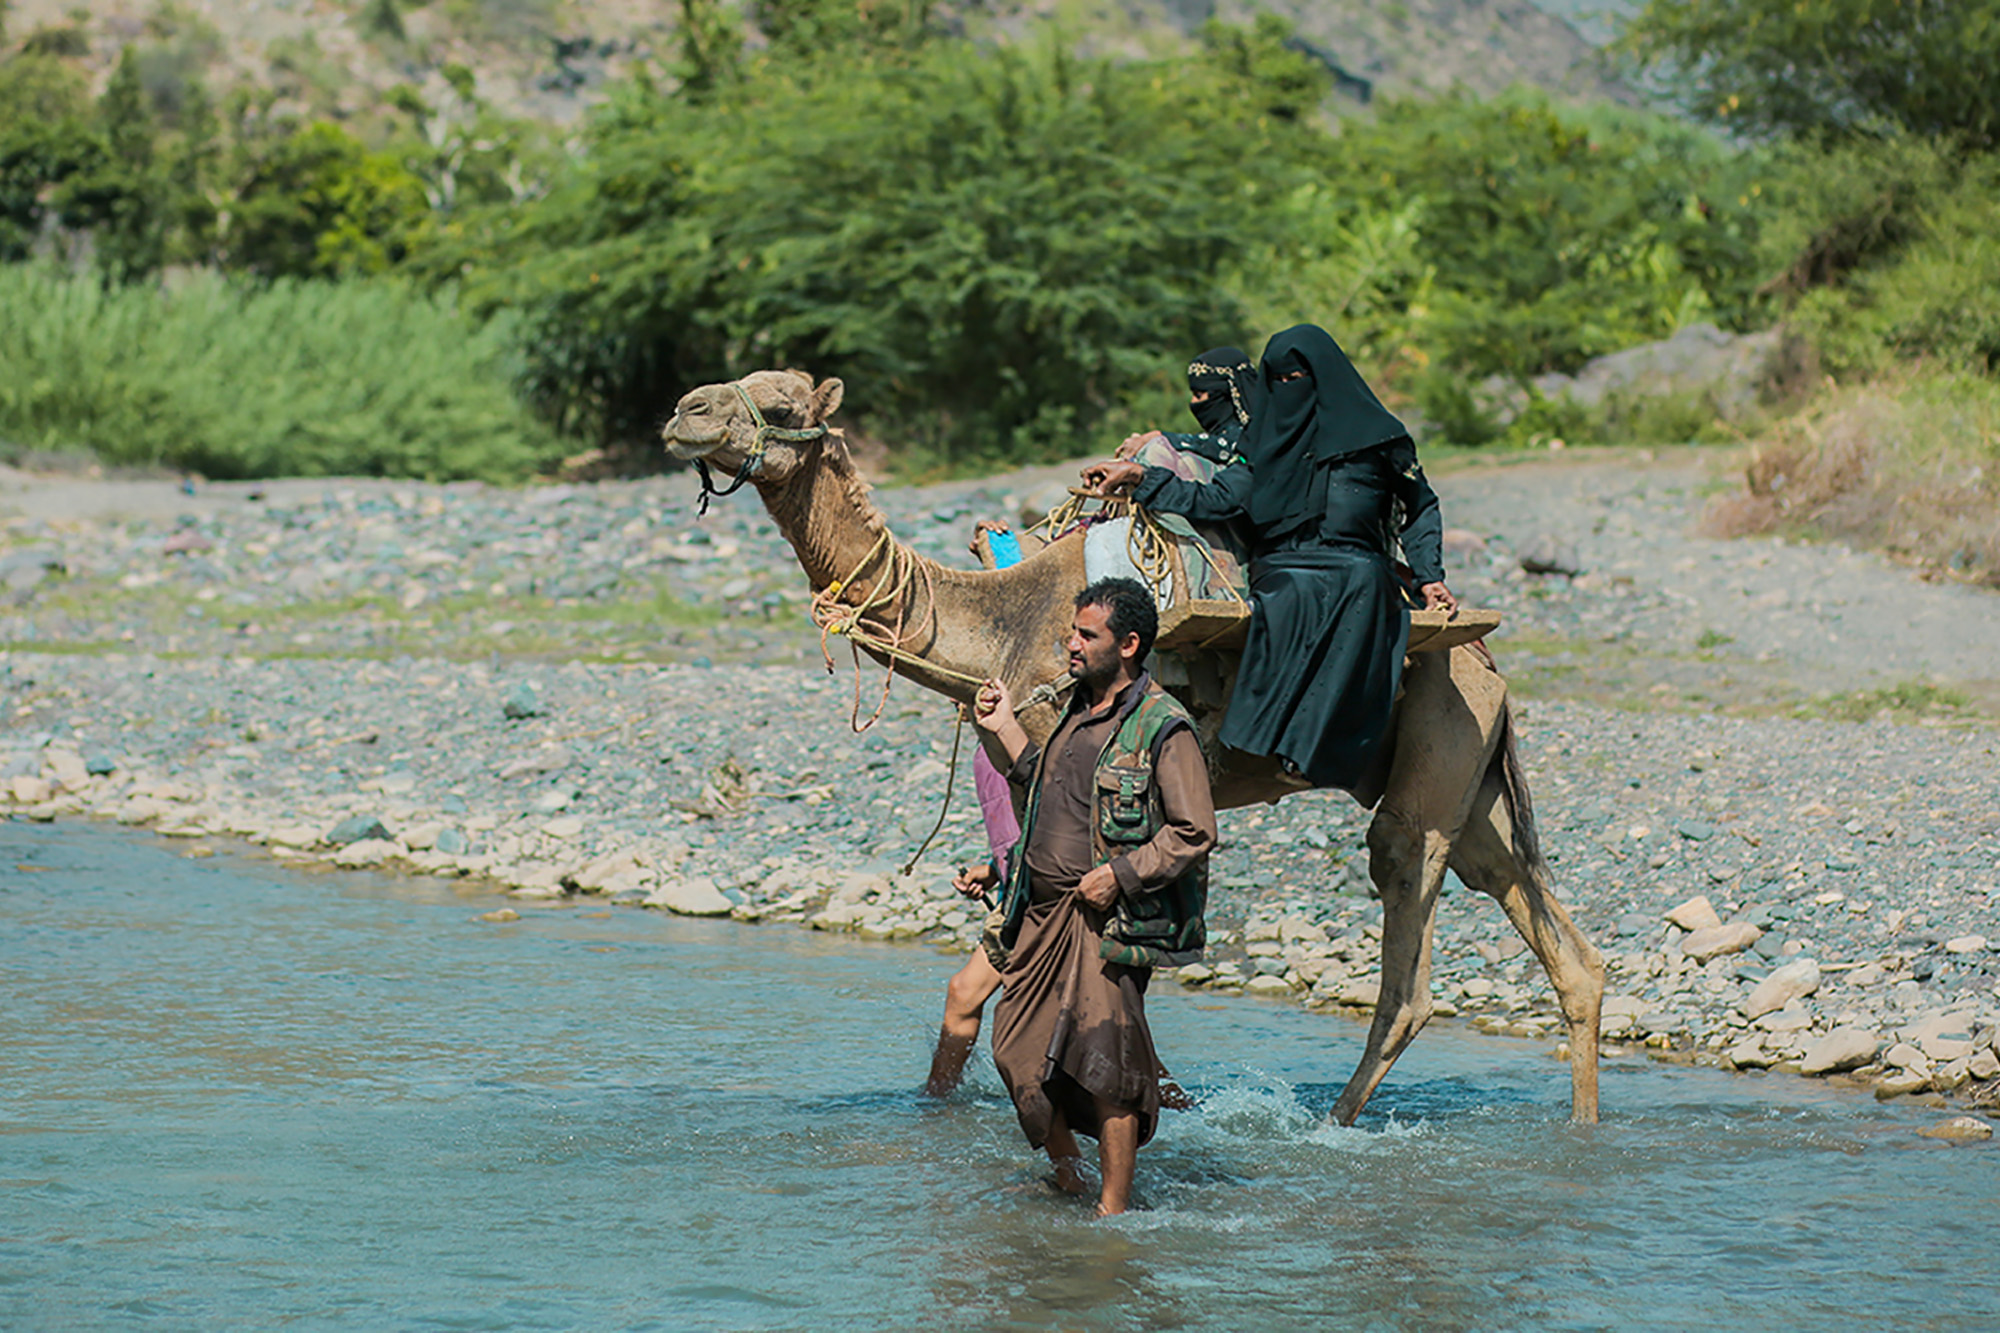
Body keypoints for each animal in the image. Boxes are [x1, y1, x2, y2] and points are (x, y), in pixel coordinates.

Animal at [664, 366, 1600, 1120]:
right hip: (1471, 786)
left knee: (1406, 948)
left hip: (1436, 752)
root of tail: (1485, 662)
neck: (996, 626)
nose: (683, 410)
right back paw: (1582, 1131)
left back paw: (1332, 1122)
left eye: (782, 403)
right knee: (1563, 946)